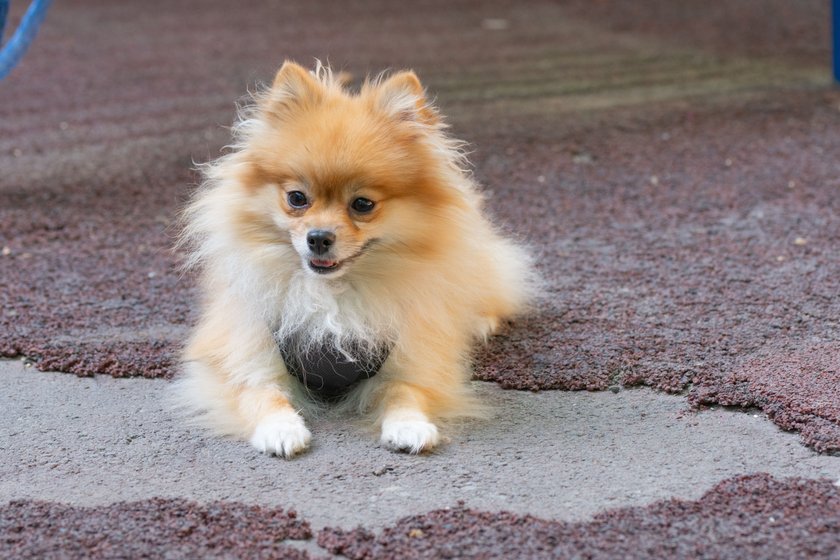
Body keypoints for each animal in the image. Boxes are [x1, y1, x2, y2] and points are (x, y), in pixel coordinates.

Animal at [176, 61, 532, 458]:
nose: (318, 238)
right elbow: (261, 393)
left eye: (362, 204)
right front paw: (280, 429)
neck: (333, 294)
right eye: (297, 198)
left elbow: (406, 391)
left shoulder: (415, 354)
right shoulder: (242, 351)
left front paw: (410, 425)